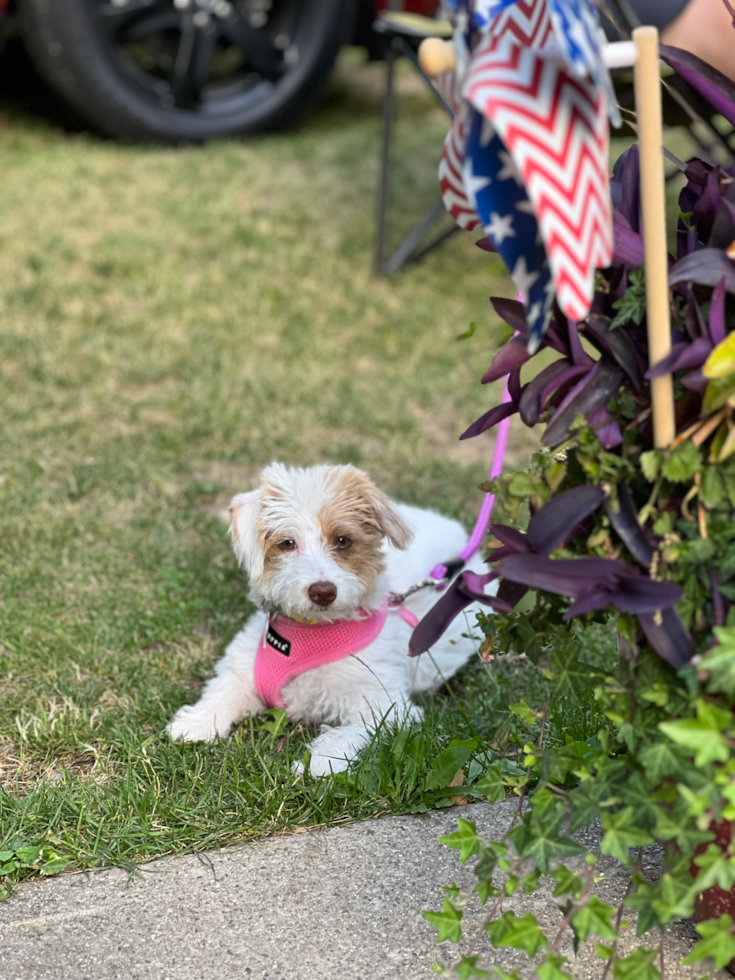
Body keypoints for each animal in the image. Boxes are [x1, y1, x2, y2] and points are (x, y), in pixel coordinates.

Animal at [168, 464, 488, 776]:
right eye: (287, 543)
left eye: (343, 540)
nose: (323, 591)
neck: (309, 631)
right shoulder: (243, 667)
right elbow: (223, 691)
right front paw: (195, 723)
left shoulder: (387, 706)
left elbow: (347, 734)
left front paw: (319, 762)